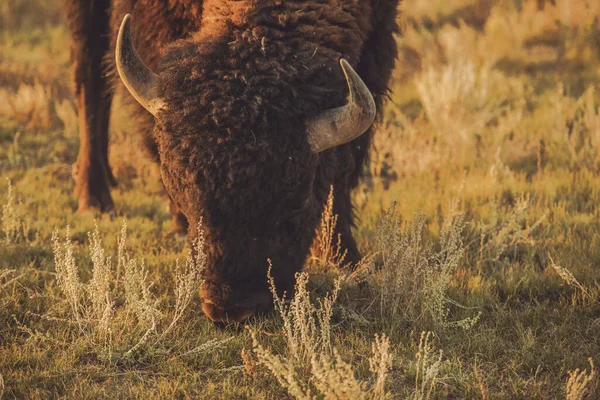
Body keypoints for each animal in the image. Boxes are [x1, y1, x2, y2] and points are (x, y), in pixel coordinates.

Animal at [65, 0, 400, 324]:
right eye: (188, 201)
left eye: (294, 207)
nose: (230, 310)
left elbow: (345, 166)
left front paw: (344, 258)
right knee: (88, 75)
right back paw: (94, 199)